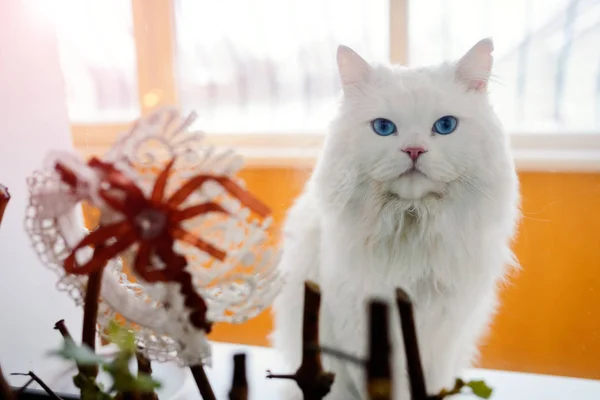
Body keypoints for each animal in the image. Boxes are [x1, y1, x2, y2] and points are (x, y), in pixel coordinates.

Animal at [272, 38, 520, 400]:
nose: (414, 150)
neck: (412, 224)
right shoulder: (359, 328)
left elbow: (432, 384)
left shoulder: (443, 336)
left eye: (445, 126)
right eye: (384, 128)